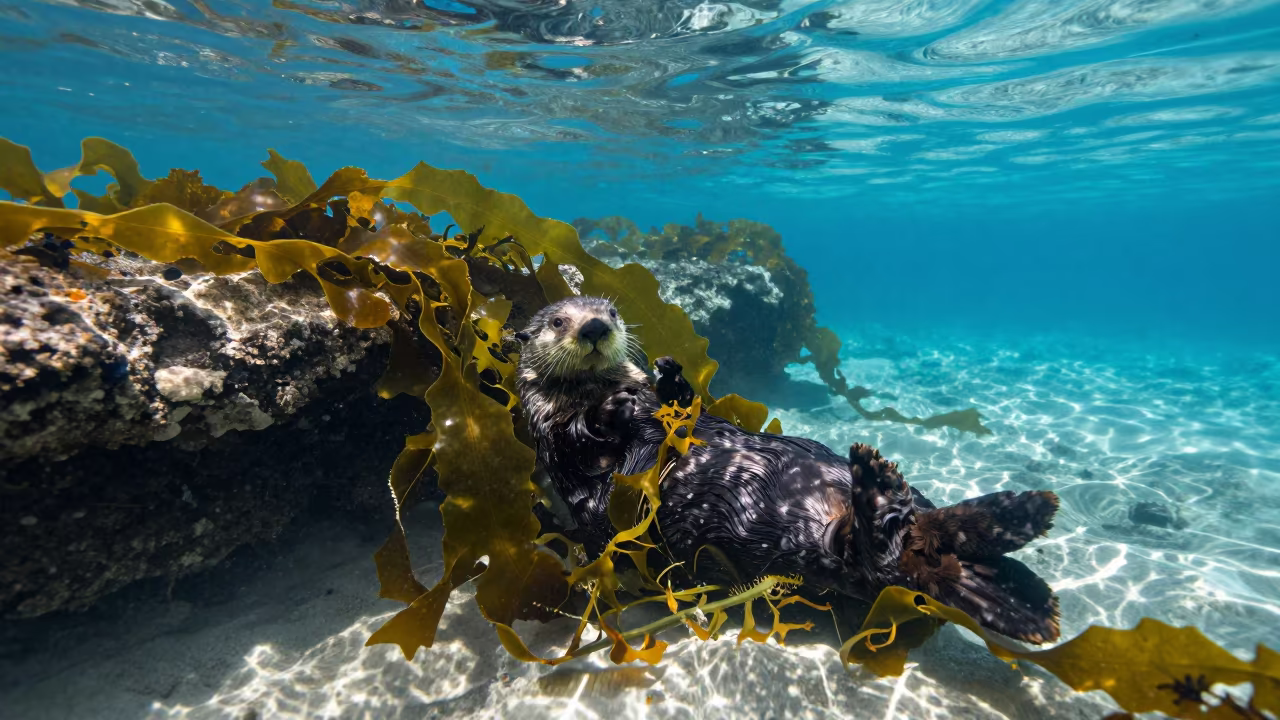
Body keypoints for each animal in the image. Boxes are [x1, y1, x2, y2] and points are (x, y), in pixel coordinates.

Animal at [516, 296, 1060, 644]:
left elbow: (685, 404)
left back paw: (1021, 519)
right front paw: (613, 410)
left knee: (923, 530)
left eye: (611, 311)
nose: (595, 327)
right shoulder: (550, 434)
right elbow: (579, 443)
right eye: (558, 320)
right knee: (876, 553)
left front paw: (668, 375)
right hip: (815, 553)